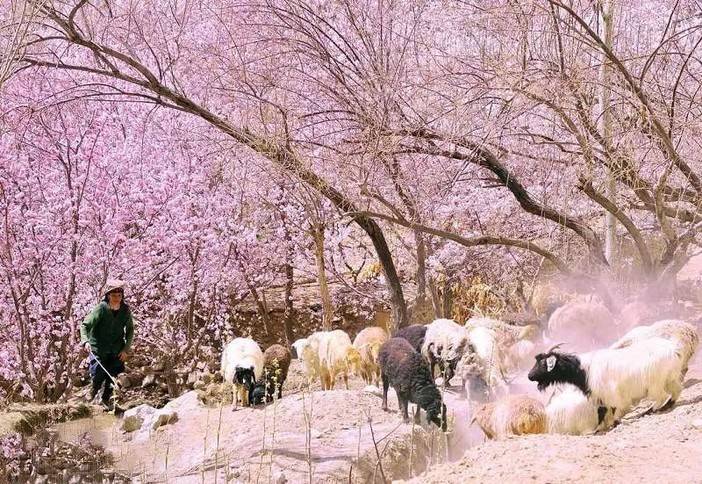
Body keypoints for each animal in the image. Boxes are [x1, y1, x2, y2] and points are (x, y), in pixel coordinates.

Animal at [528, 338, 685, 430]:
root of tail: (674, 350)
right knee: (676, 391)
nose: (529, 376)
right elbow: (605, 411)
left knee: (661, 397)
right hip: (670, 378)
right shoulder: (601, 397)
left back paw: (649, 411)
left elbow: (612, 410)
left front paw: (610, 425)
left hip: (655, 384)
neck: (584, 370)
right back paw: (667, 405)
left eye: (542, 364)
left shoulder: (610, 394)